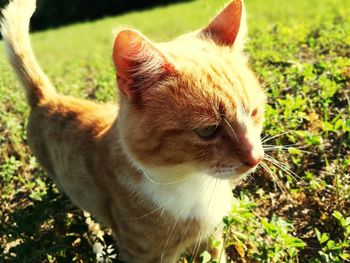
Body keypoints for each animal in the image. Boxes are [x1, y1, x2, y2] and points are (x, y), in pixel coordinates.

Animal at [0, 0, 266, 262]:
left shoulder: (212, 236)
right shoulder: (144, 254)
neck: (192, 181)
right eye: (208, 130)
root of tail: (46, 98)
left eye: (254, 112)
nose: (256, 158)